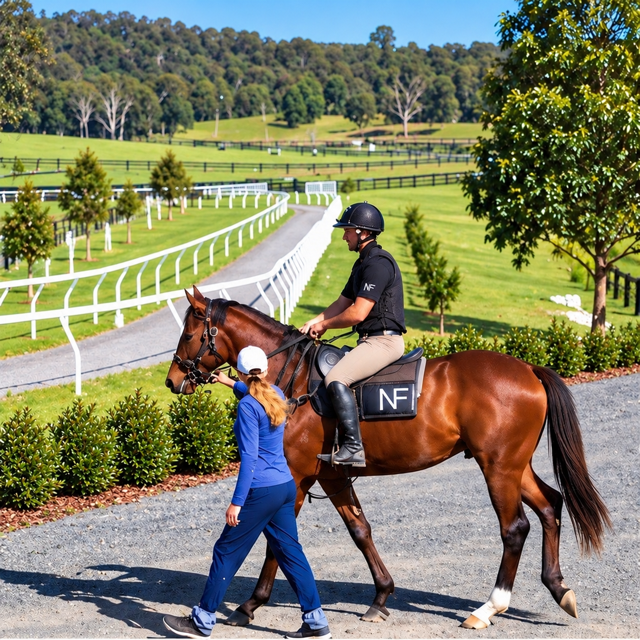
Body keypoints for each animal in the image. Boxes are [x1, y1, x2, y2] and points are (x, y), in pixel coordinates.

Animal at [165, 287, 611, 630]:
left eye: (189, 333)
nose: (172, 380)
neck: (293, 378)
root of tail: (530, 369)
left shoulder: (297, 476)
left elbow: (278, 541)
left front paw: (250, 605)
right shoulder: (332, 476)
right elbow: (360, 531)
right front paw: (381, 597)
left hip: (498, 468)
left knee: (515, 528)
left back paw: (488, 608)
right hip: (515, 467)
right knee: (551, 506)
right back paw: (558, 588)